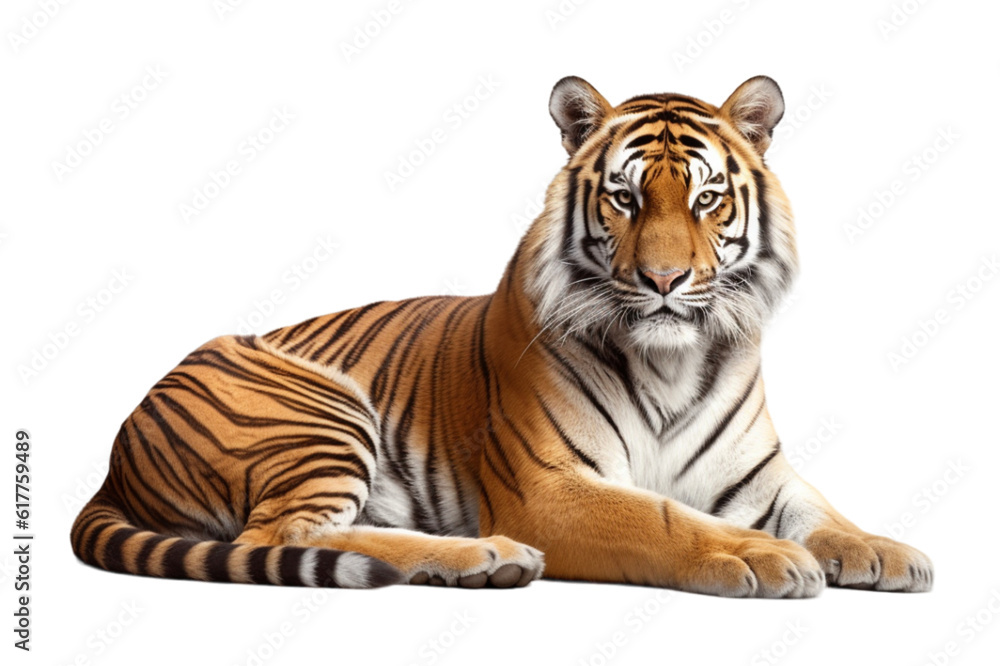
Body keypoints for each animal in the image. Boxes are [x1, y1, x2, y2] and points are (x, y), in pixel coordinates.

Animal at [71, 75, 933, 596]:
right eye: (624, 198)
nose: (663, 281)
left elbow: (822, 512)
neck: (672, 361)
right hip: (316, 412)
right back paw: (484, 556)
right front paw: (759, 557)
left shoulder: (756, 477)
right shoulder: (549, 489)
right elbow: (662, 518)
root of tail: (113, 460)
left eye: (706, 199)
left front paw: (888, 552)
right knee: (284, 533)